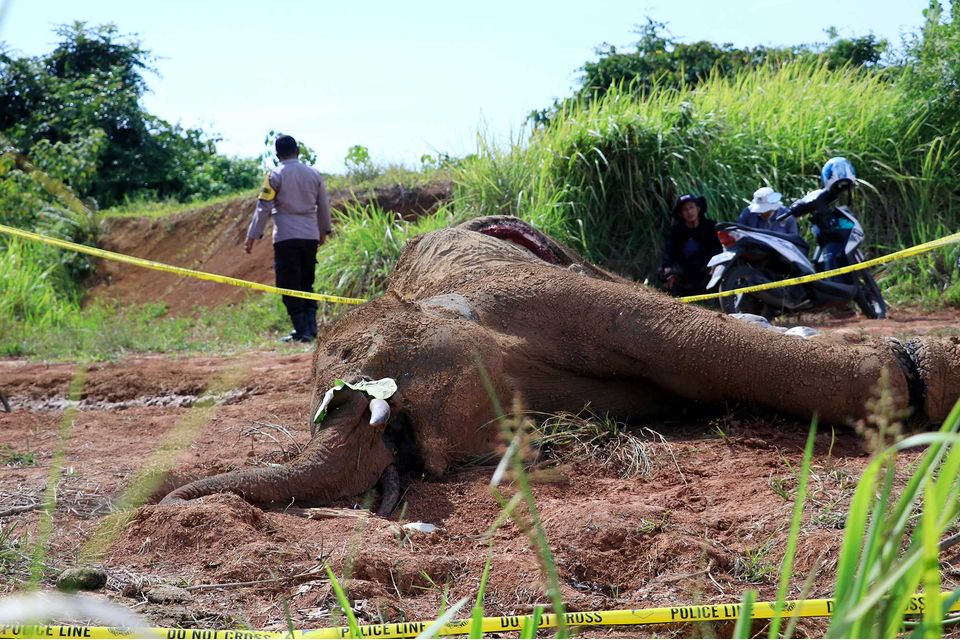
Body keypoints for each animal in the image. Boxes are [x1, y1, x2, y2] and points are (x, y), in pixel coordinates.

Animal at [161, 216, 960, 515]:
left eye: (368, 371)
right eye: (402, 444)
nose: (164, 502)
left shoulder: (531, 294)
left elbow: (682, 341)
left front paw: (927, 378)